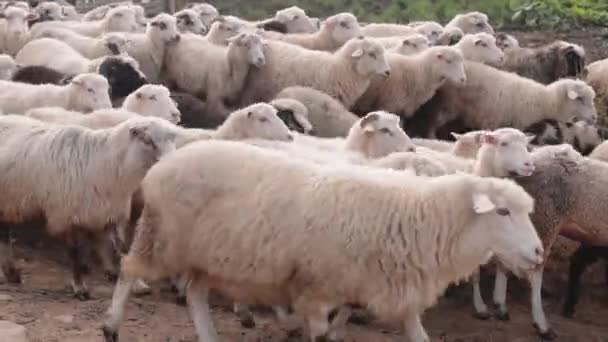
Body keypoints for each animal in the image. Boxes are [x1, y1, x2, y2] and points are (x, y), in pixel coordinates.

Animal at [0, 114, 180, 300]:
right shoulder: (67, 215)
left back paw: (11, 273)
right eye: (147, 140)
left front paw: (137, 284)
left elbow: (122, 248)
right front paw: (80, 288)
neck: (105, 164)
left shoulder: (109, 212)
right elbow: (75, 253)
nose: (173, 164)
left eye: (173, 139)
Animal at [102, 138, 544, 342]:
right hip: (161, 237)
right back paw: (110, 325)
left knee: (195, 294)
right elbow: (319, 331)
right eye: (503, 212)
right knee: (128, 269)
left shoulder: (382, 288)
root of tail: (165, 162)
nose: (539, 253)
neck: (413, 216)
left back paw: (209, 335)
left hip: (211, 256)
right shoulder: (315, 291)